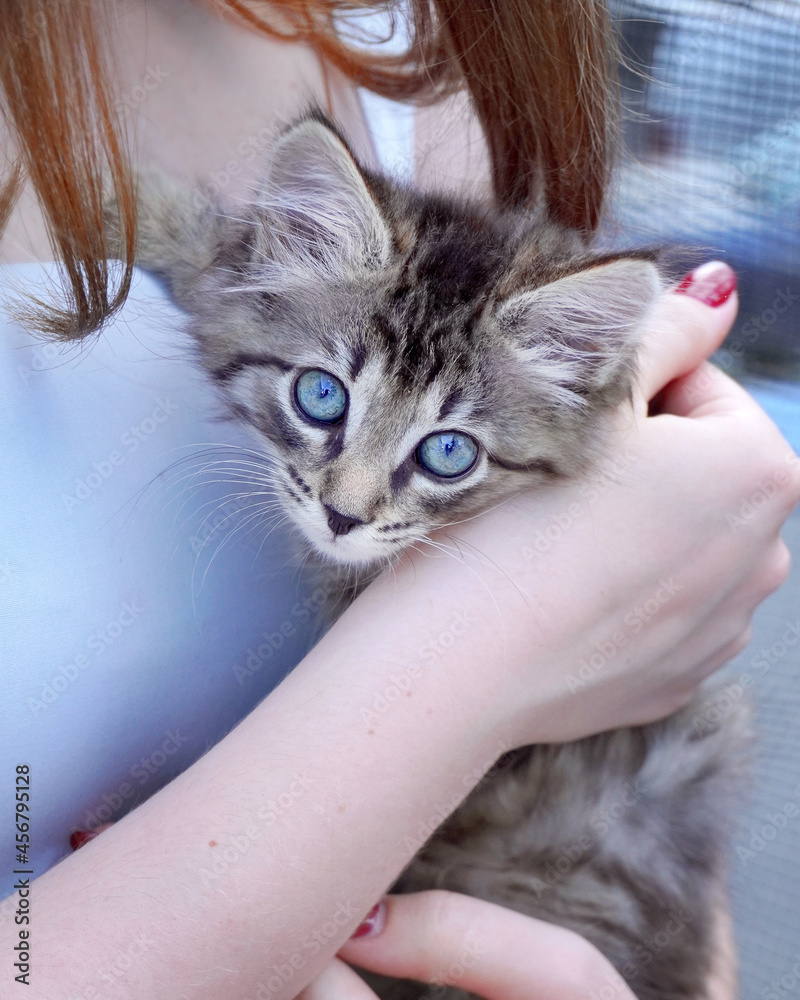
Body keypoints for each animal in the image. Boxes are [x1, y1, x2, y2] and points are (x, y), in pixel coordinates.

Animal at [109, 111, 752, 1000]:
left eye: (447, 453)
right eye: (321, 395)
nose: (343, 515)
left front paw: (138, 203)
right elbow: (222, 268)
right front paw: (146, 209)